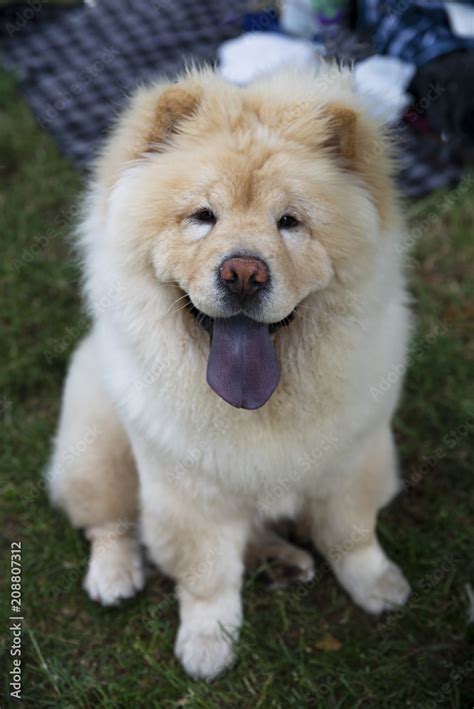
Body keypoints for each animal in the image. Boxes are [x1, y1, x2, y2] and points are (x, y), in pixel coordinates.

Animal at [47, 66, 412, 680]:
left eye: (289, 222)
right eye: (203, 217)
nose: (243, 272)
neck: (261, 406)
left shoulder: (353, 458)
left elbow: (351, 532)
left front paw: (378, 587)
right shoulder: (189, 491)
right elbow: (206, 573)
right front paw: (207, 646)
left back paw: (284, 559)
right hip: (95, 441)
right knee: (109, 521)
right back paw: (114, 576)